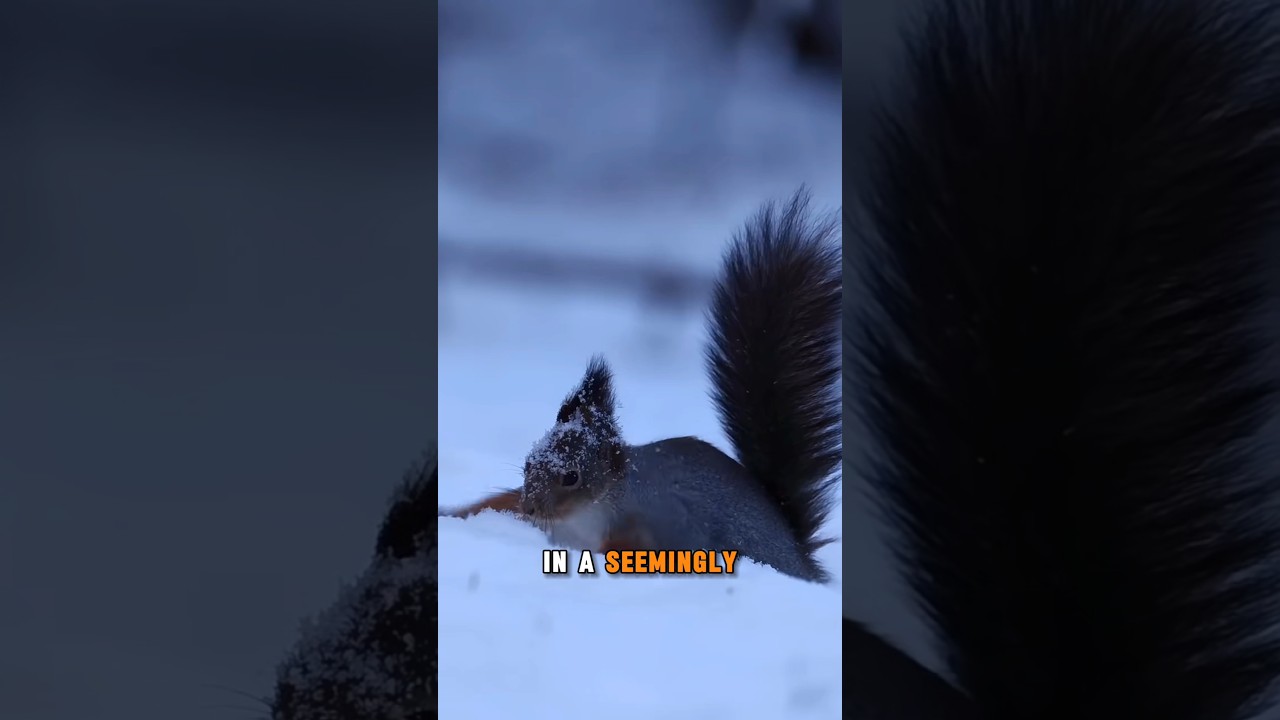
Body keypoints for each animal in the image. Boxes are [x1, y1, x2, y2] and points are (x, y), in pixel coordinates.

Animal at [441, 190, 842, 583]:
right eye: (527, 464)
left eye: (572, 477)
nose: (531, 507)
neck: (591, 511)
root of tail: (801, 558)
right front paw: (456, 513)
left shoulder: (659, 523)